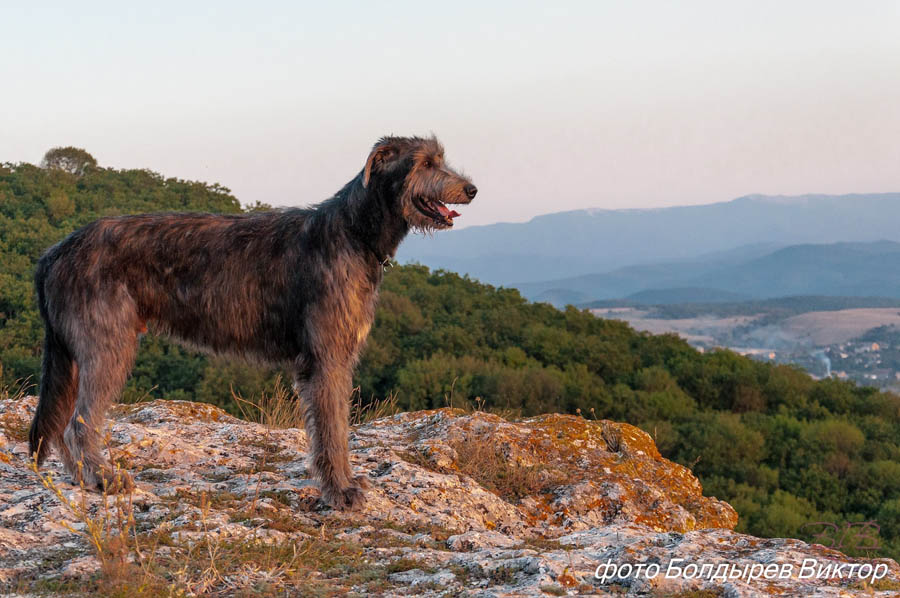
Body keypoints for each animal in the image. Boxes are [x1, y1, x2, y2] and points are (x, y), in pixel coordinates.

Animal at [26, 136, 478, 510]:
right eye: (425, 162)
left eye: (441, 158)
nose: (472, 189)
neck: (353, 232)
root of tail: (54, 252)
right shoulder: (326, 358)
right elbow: (332, 429)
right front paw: (340, 491)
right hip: (108, 345)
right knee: (78, 424)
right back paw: (103, 479)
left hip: (74, 353)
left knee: (62, 422)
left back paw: (81, 478)